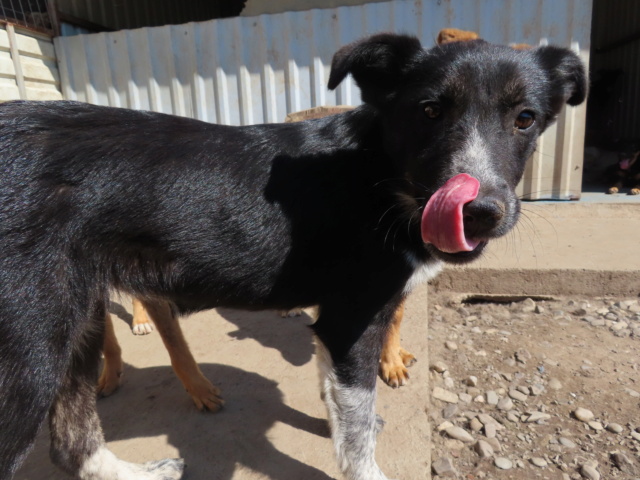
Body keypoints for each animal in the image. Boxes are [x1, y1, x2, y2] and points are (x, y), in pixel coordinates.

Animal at [0, 33, 584, 480]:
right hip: (30, 346)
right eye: (429, 111)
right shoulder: (352, 318)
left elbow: (339, 402)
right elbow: (356, 428)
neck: (378, 172)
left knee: (71, 441)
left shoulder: (335, 322)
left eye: (526, 119)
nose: (480, 212)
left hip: (74, 322)